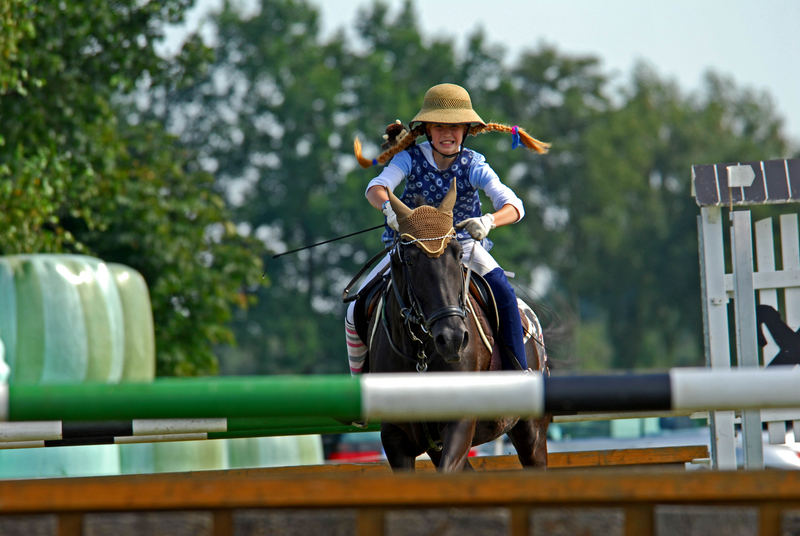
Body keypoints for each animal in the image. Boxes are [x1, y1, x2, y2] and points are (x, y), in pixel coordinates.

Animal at [364, 181, 548, 474]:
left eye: (459, 254)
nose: (452, 339)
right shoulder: (395, 438)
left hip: (531, 431)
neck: (420, 352)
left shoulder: (459, 423)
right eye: (410, 259)